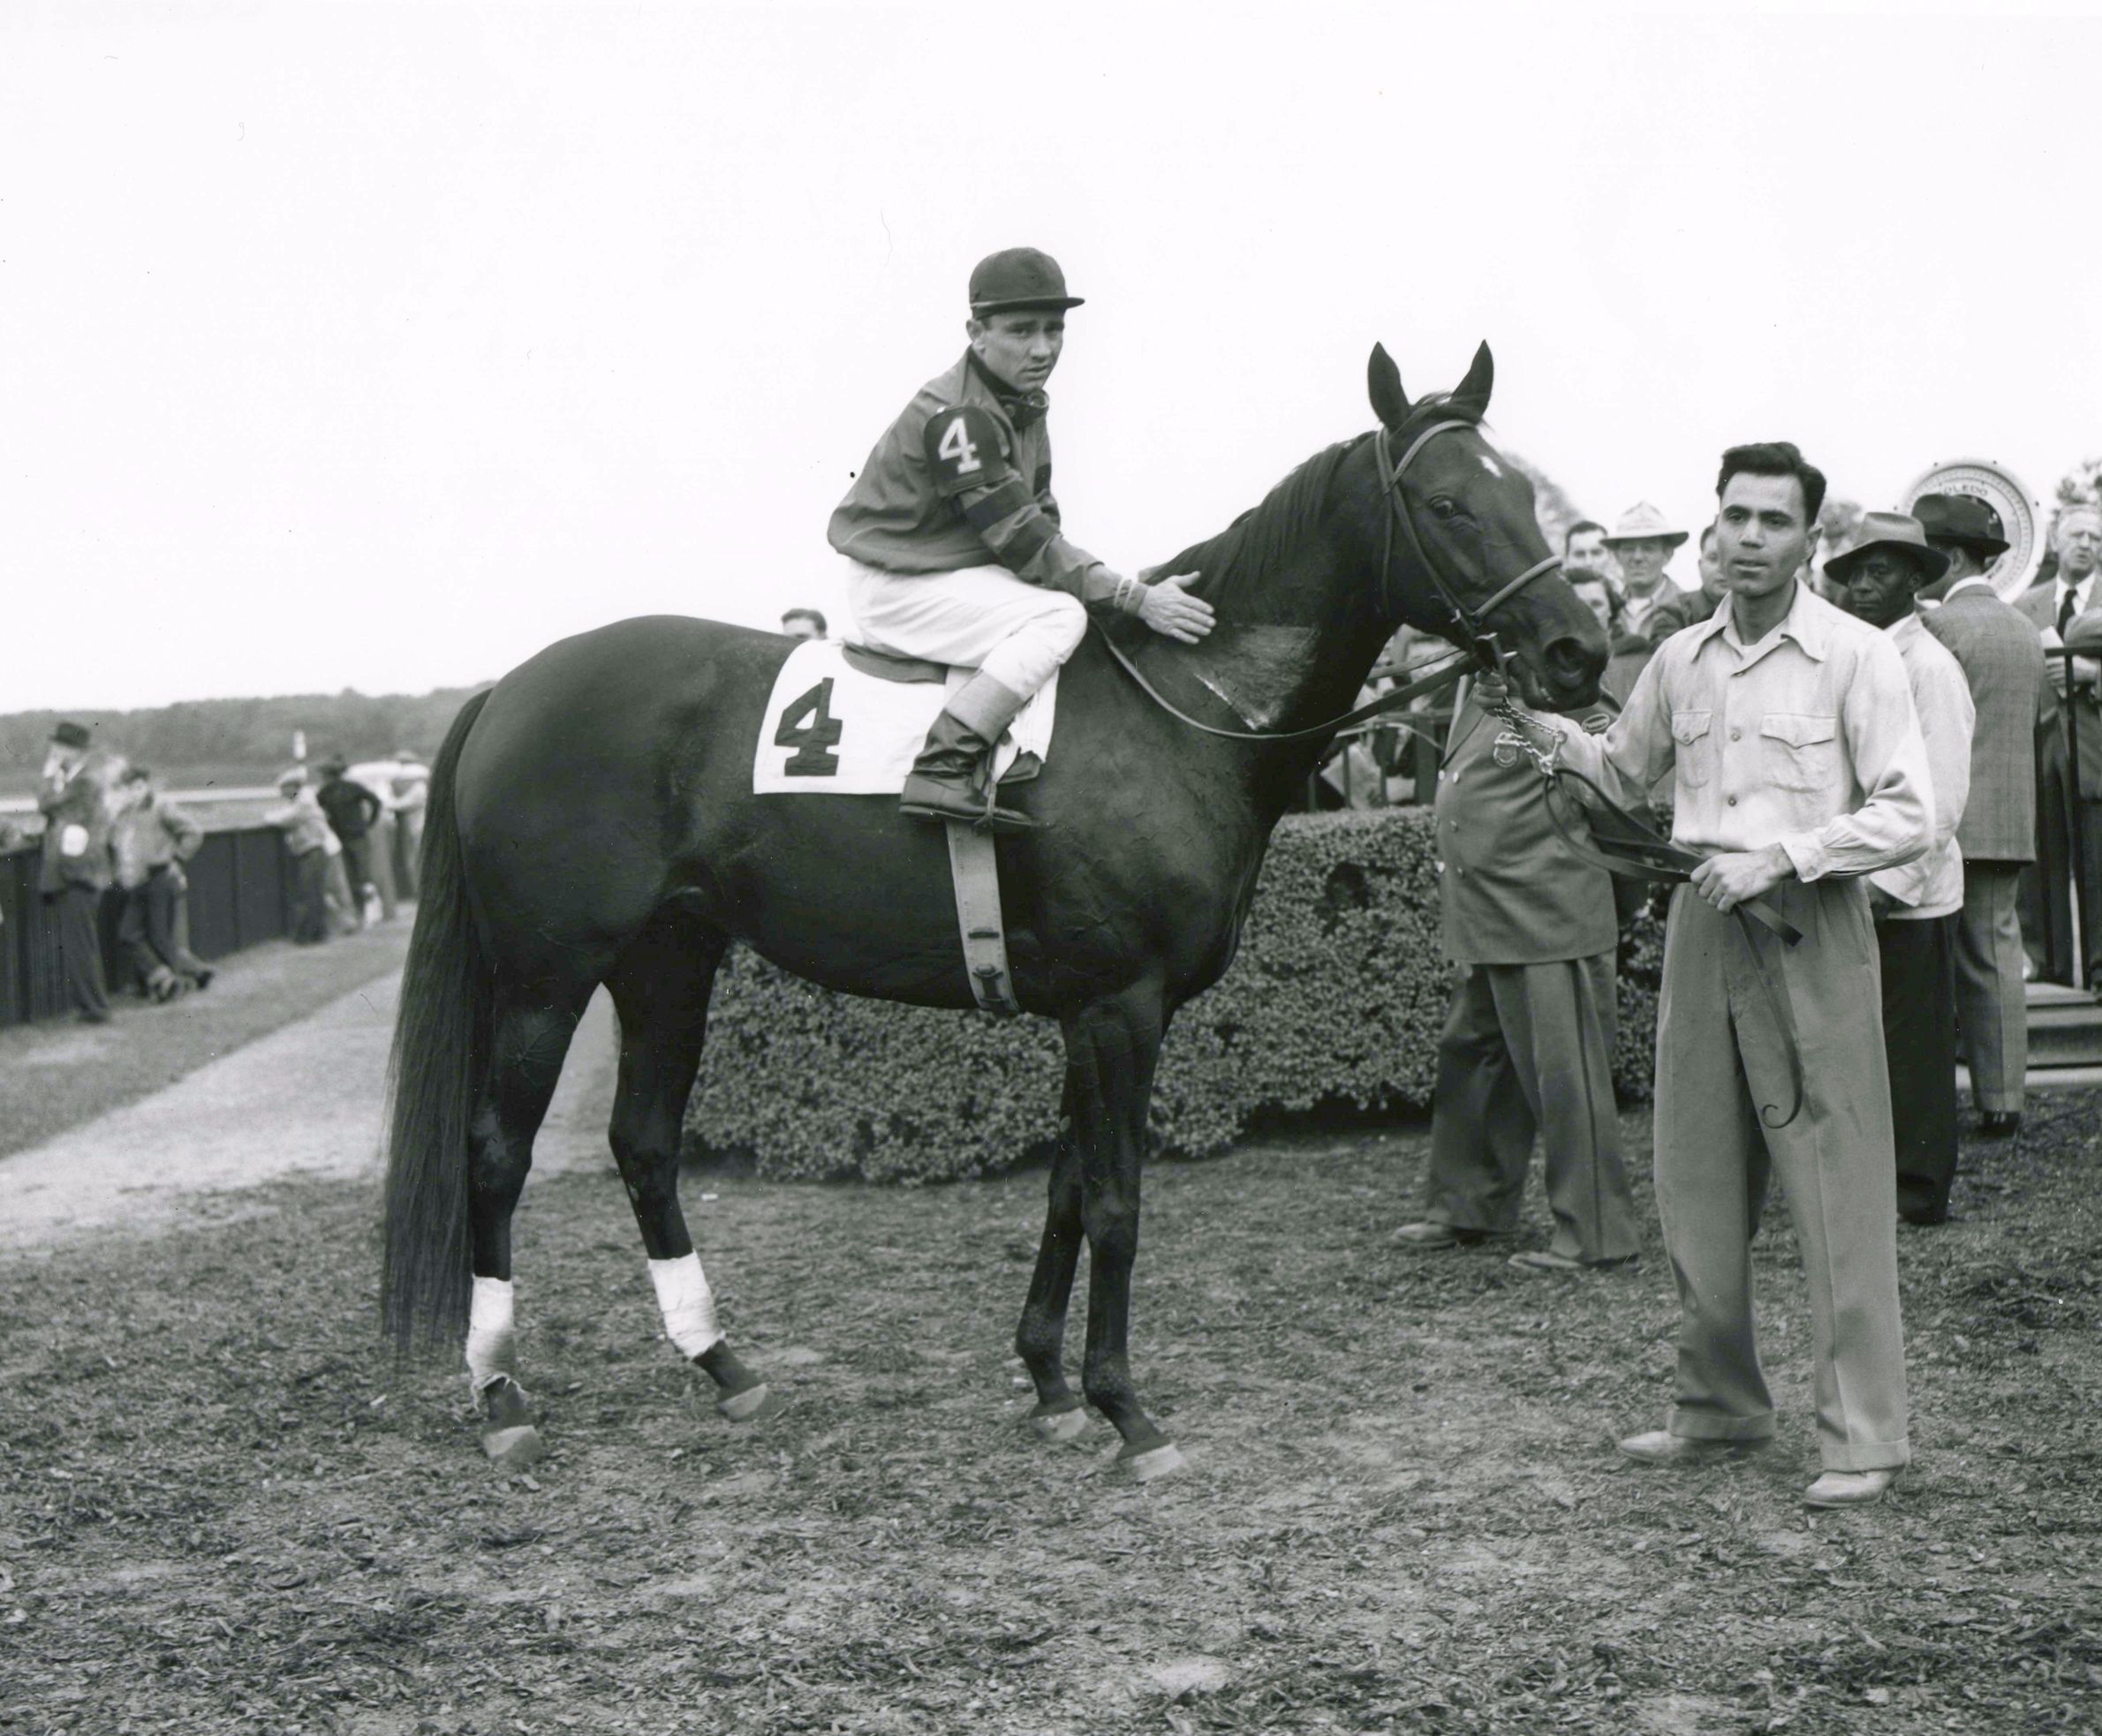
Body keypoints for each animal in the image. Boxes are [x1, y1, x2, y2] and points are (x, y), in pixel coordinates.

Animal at [382, 349, 1589, 1471]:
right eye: (1446, 503)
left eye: (1525, 493)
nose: (1576, 649)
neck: (1180, 710)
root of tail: (508, 685)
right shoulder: (1120, 1006)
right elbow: (1115, 1200)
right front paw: (1125, 1409)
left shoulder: (1091, 1010)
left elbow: (1064, 1189)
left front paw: (1049, 1381)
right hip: (548, 978)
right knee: (495, 1152)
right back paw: (500, 1394)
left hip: (667, 960)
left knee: (642, 1142)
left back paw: (721, 1363)